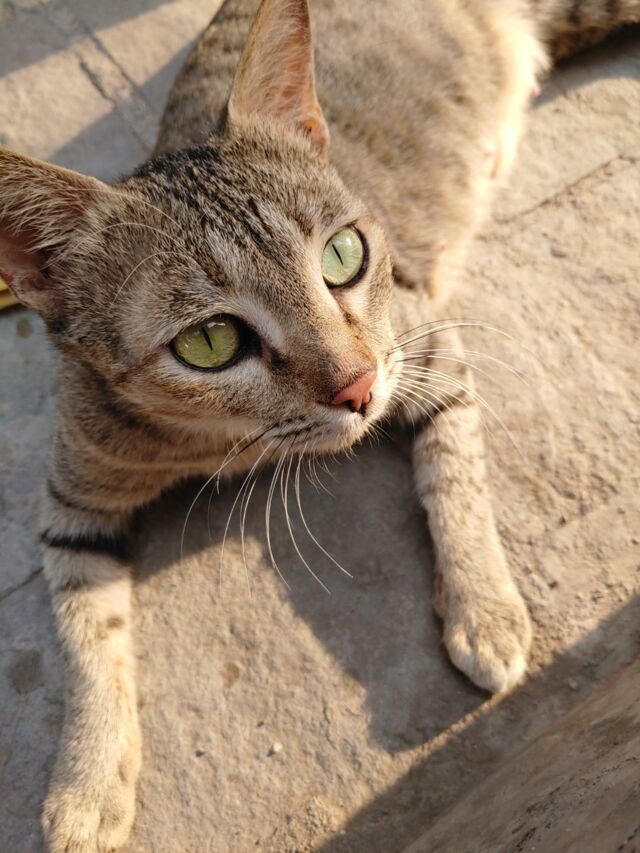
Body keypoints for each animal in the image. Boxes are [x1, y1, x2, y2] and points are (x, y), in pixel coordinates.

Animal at [1, 0, 638, 850]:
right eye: (210, 341)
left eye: (343, 254)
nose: (359, 386)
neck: (221, 442)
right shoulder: (72, 500)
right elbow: (85, 636)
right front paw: (89, 778)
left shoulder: (423, 344)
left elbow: (457, 476)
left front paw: (484, 603)